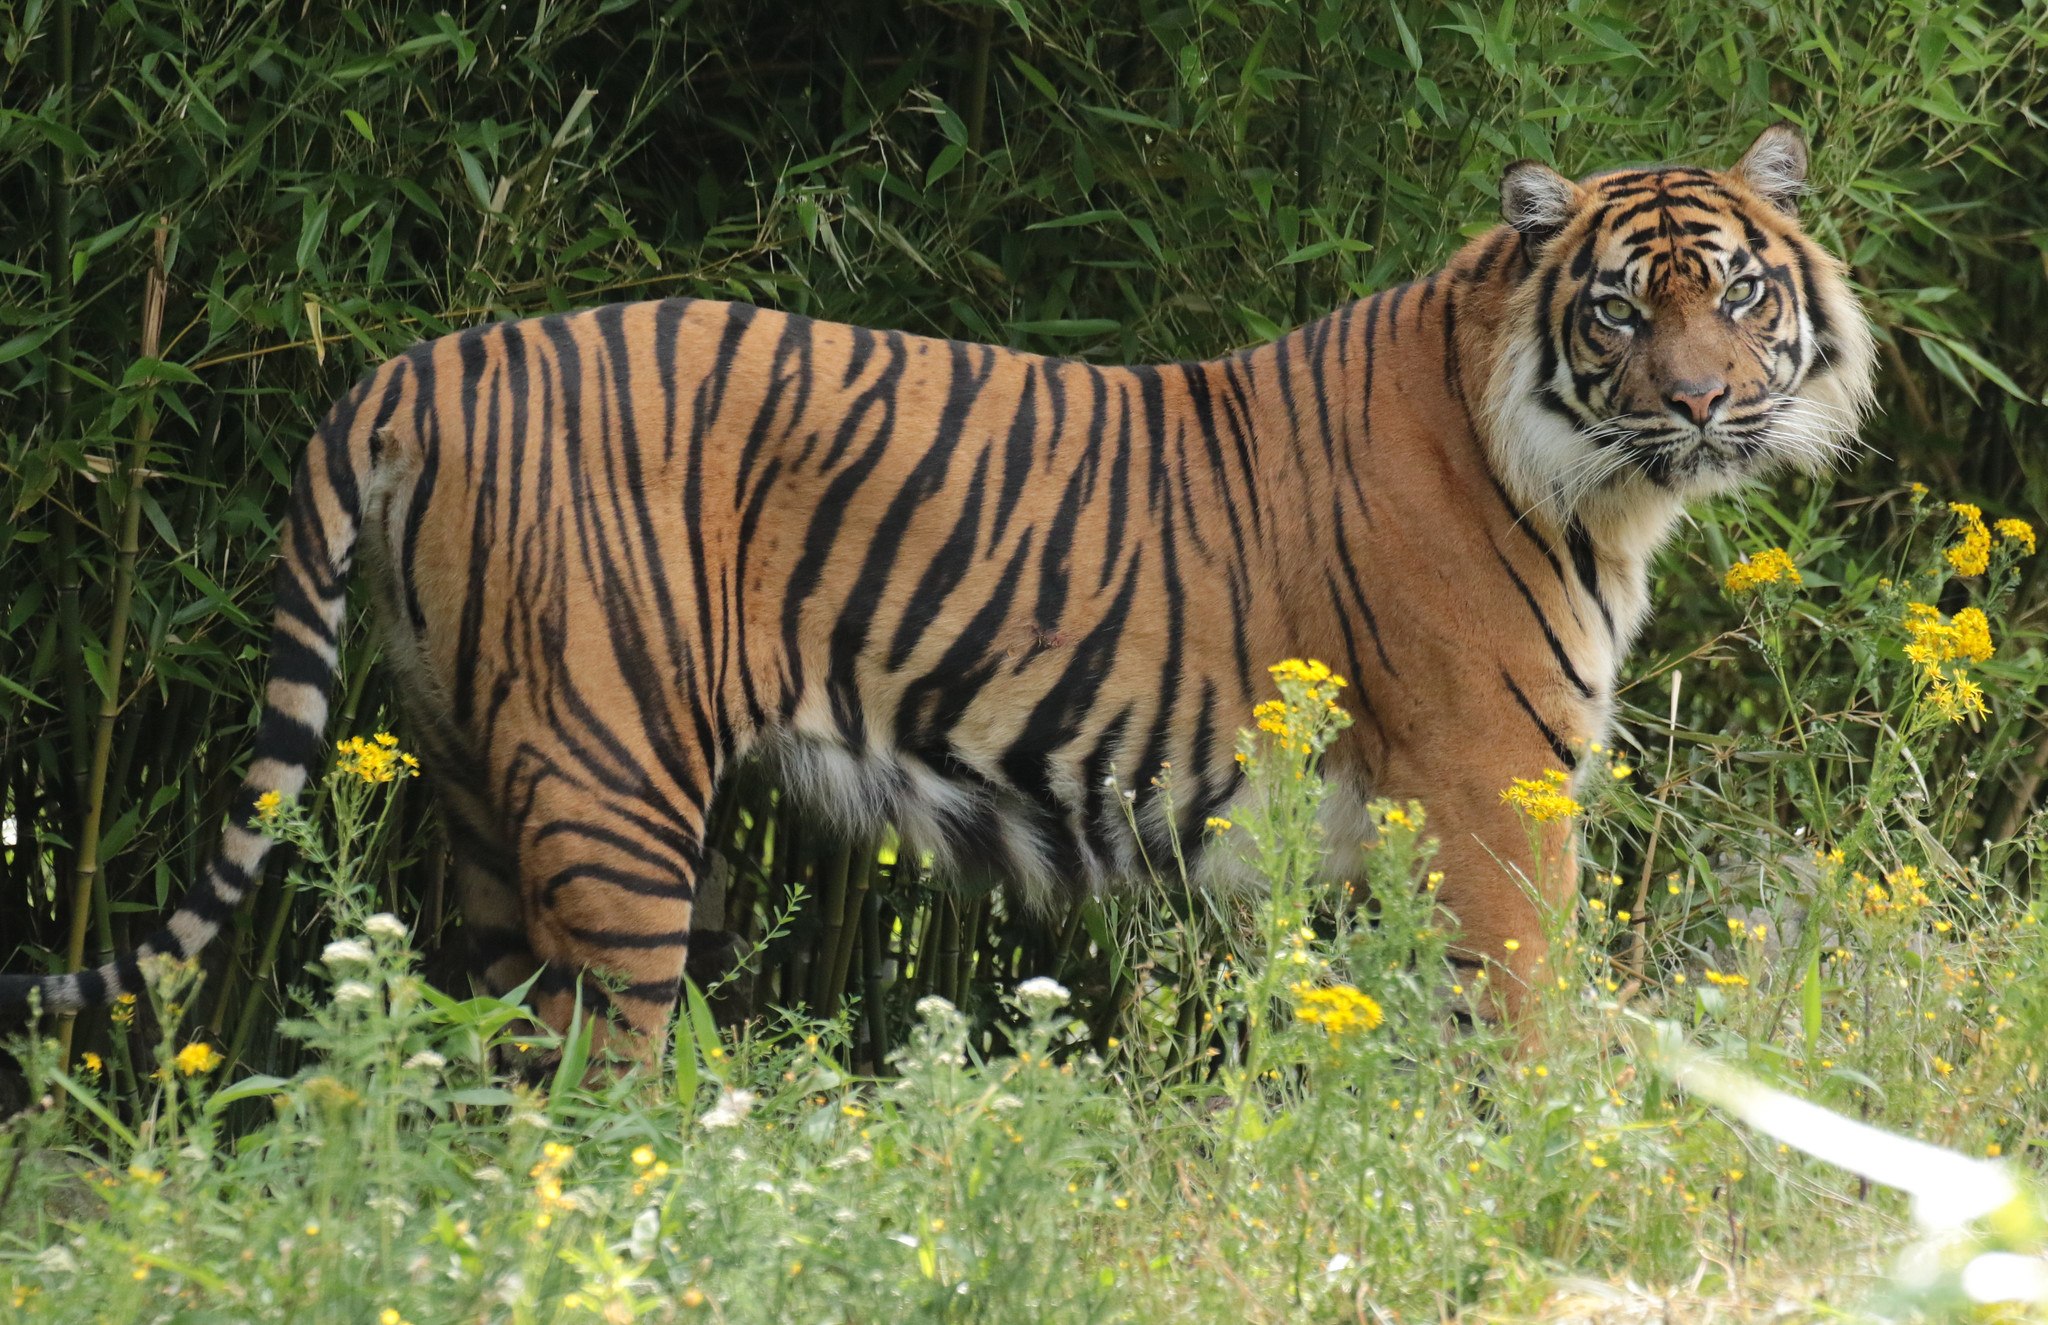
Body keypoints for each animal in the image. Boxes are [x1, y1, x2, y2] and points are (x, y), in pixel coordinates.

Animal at [0, 126, 1875, 1056]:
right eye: (1622, 308)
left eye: (1736, 297)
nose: (1704, 401)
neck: (1591, 477)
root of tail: (417, 364)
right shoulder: (1495, 804)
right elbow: (1535, 1037)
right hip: (614, 801)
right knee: (594, 1090)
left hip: (471, 788)